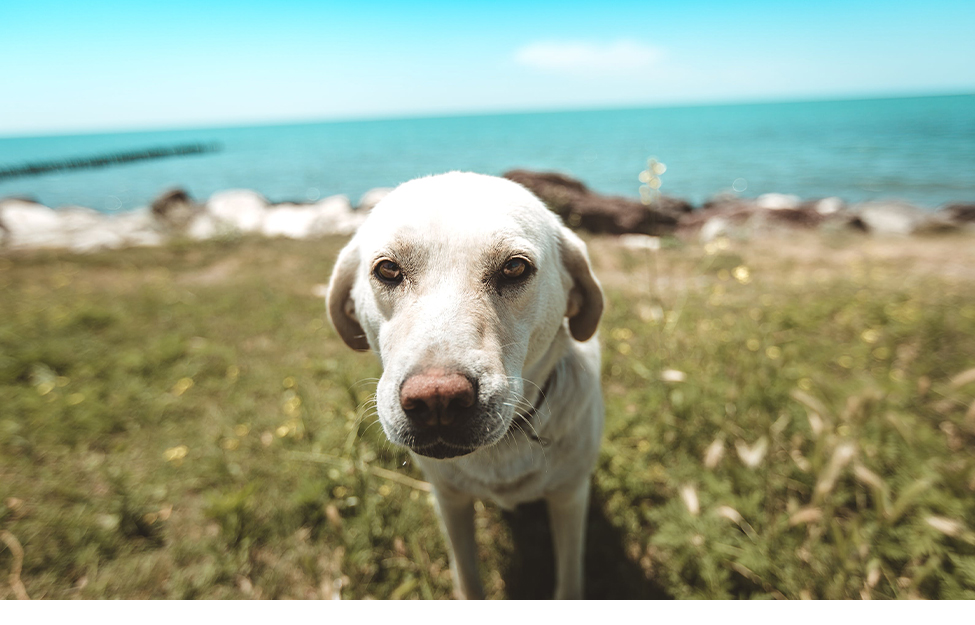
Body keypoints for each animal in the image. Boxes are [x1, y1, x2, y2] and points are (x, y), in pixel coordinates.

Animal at [328, 171, 604, 600]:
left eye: (514, 268)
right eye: (388, 270)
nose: (437, 400)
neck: (501, 451)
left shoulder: (570, 497)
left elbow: (570, 579)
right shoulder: (450, 500)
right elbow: (467, 577)